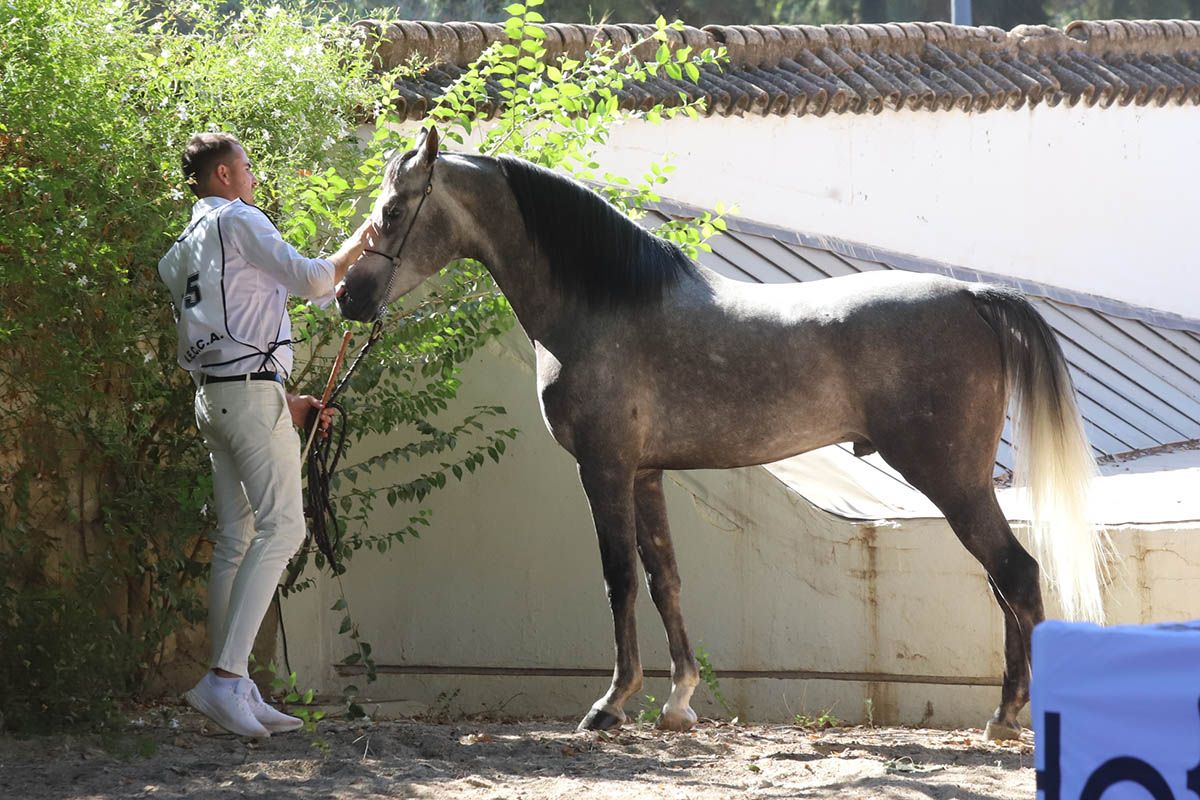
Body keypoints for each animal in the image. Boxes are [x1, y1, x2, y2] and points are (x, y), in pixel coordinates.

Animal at [338, 128, 1104, 743]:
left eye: (394, 211)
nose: (349, 296)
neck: (604, 304)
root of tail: (974, 297)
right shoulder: (646, 473)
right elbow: (665, 579)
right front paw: (678, 702)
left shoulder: (604, 468)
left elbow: (618, 578)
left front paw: (611, 705)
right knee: (1004, 584)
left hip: (951, 481)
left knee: (1015, 575)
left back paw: (1007, 718)